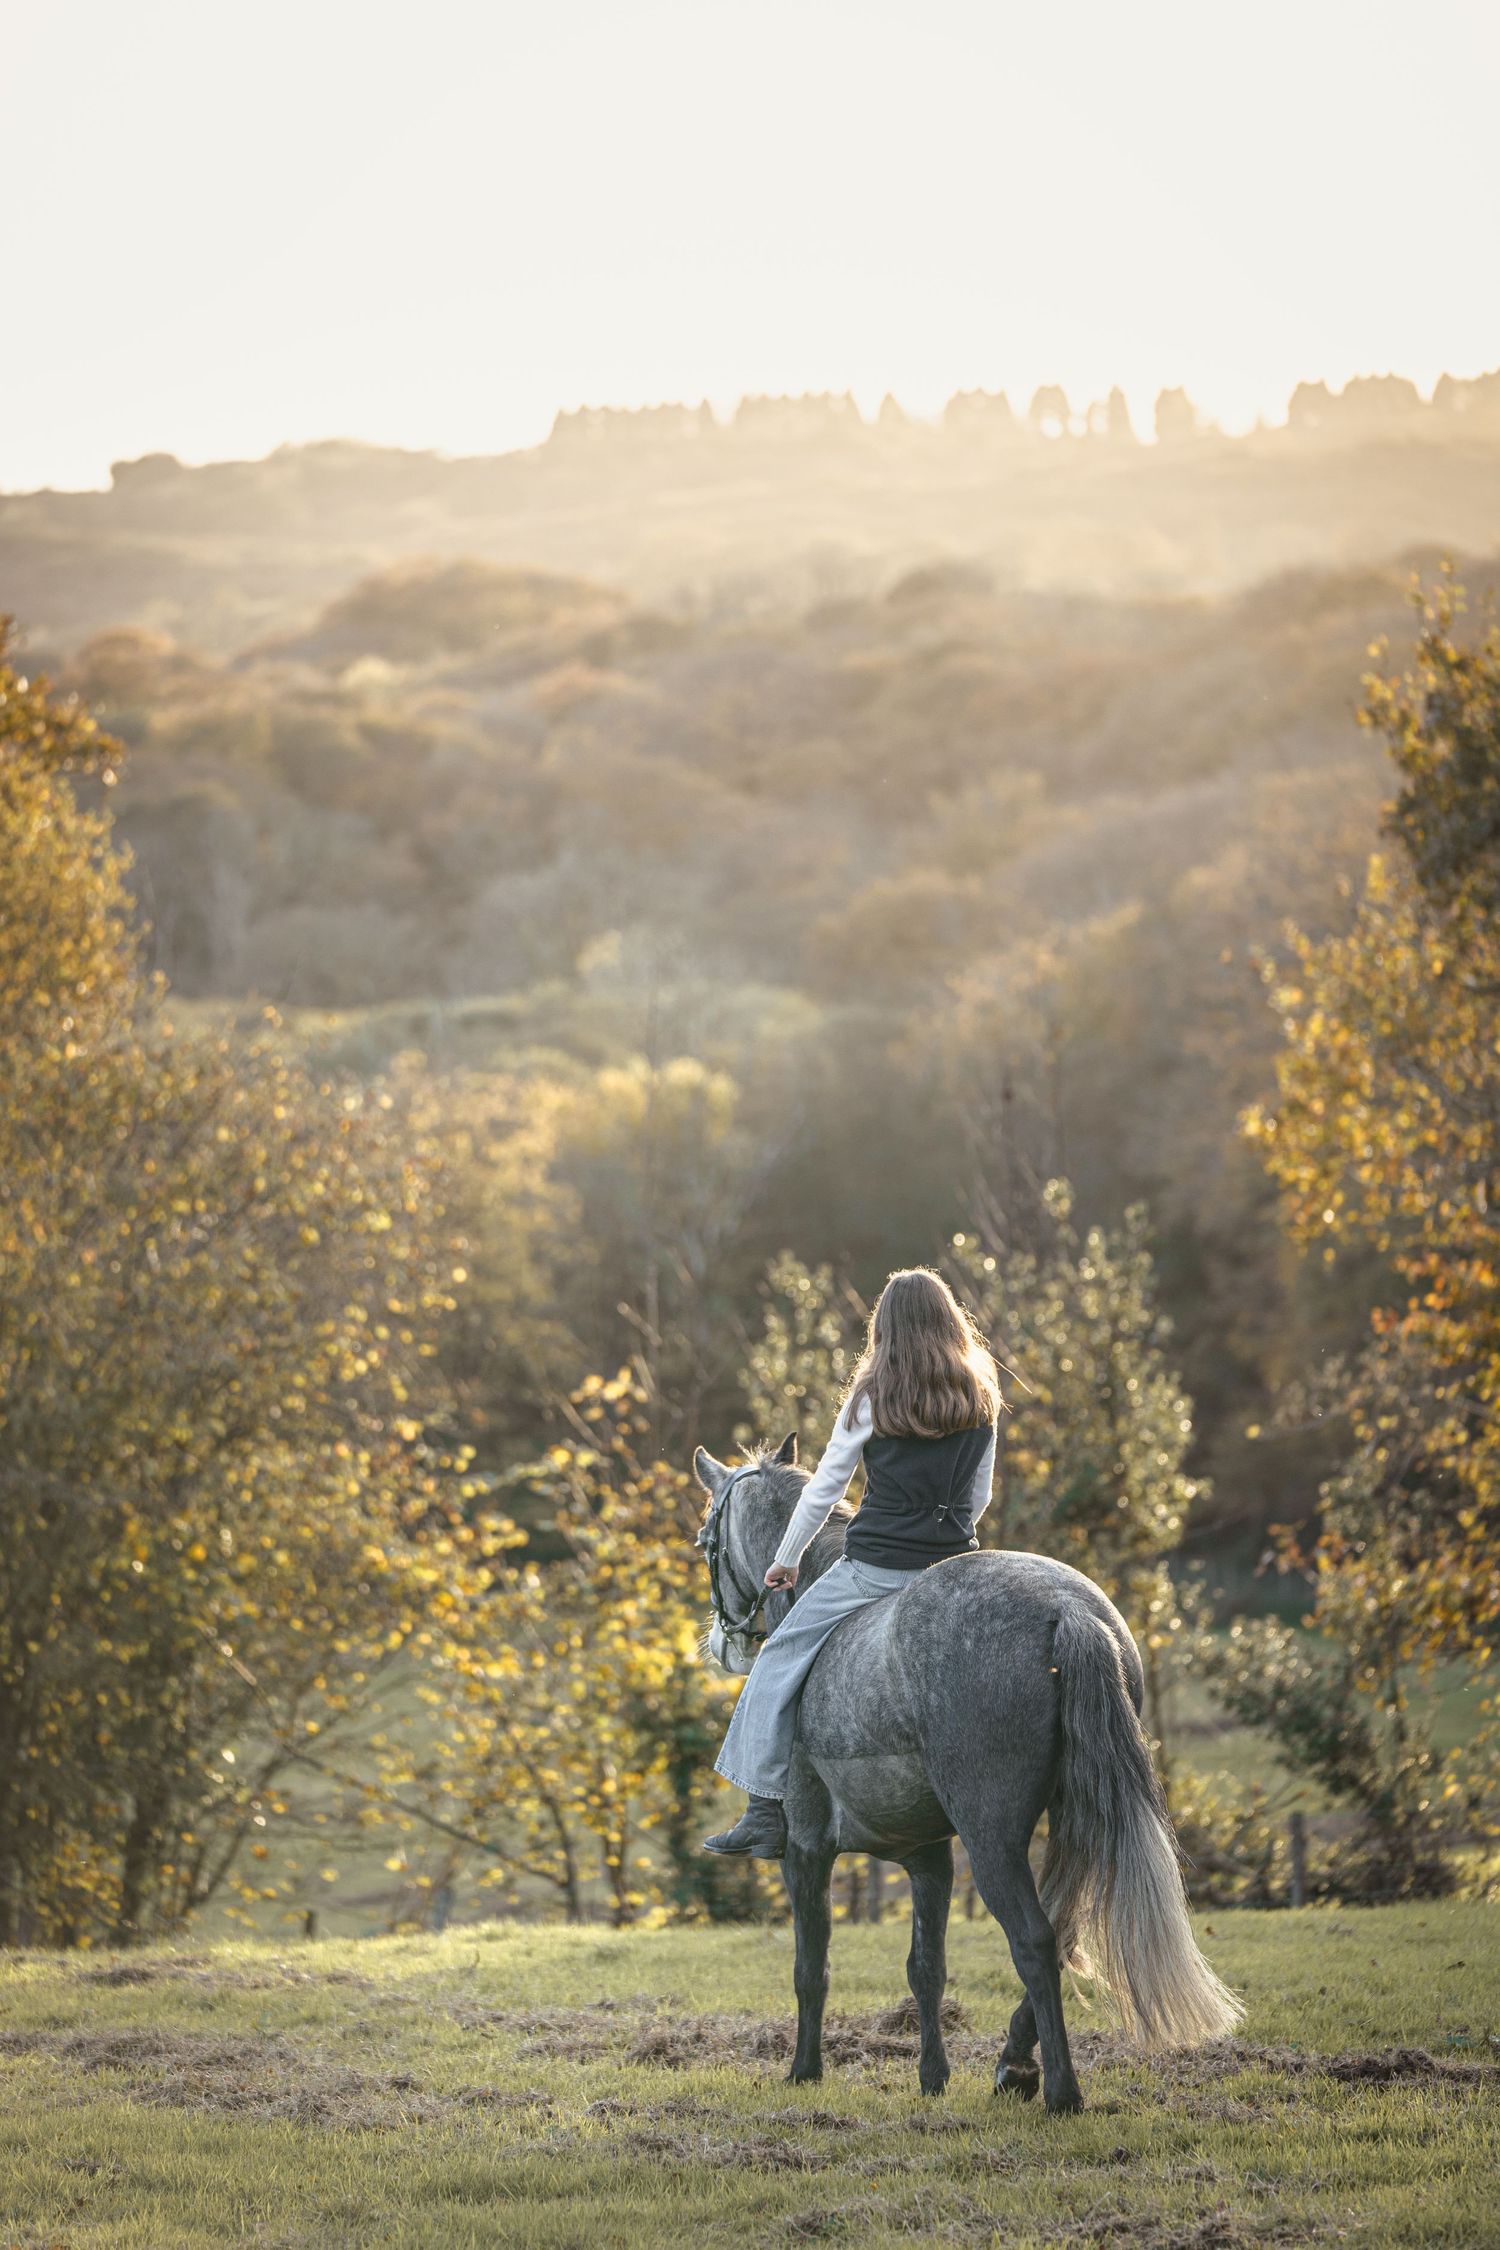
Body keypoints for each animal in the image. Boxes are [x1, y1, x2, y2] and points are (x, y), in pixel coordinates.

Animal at [693, 1434, 1241, 2113]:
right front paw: (933, 2077)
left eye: (705, 1541)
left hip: (992, 1837)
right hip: (1073, 1817)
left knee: (1034, 1940)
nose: (722, 1643)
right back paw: (1013, 2063)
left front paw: (804, 2070)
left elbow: (810, 1966)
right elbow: (925, 1968)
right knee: (1061, 1929)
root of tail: (1065, 1609)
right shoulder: (928, 1857)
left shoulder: (808, 1848)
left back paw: (1058, 2089)